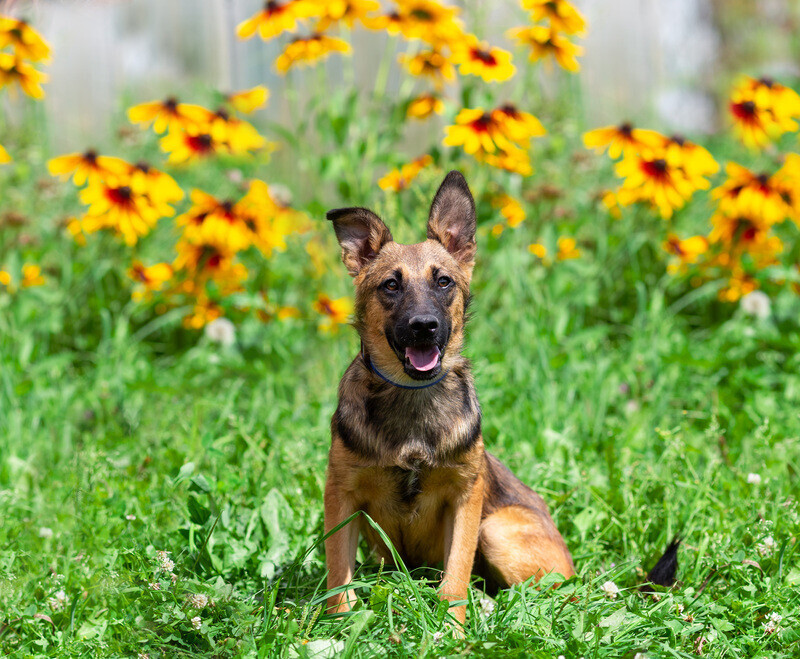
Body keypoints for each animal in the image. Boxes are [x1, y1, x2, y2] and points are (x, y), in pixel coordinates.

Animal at [324, 173, 576, 628]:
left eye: (444, 282)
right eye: (391, 285)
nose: (424, 326)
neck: (413, 399)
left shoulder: (465, 498)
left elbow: (456, 573)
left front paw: (453, 628)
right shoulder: (341, 494)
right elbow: (339, 575)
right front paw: (340, 625)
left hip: (497, 530)